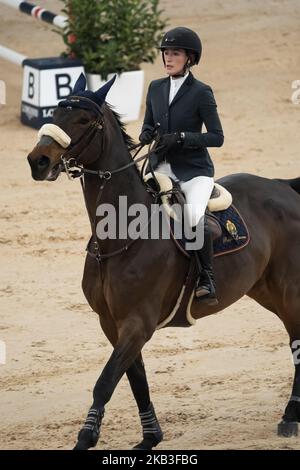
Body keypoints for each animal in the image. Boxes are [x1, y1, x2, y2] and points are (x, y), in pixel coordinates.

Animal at [26, 75, 300, 450]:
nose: (37, 161)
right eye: (55, 111)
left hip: (289, 291)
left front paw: (86, 437)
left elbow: (105, 382)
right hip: (265, 289)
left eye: (83, 120)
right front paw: (150, 437)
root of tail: (282, 186)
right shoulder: (112, 323)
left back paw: (290, 417)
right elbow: (135, 380)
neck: (121, 235)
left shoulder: (138, 323)